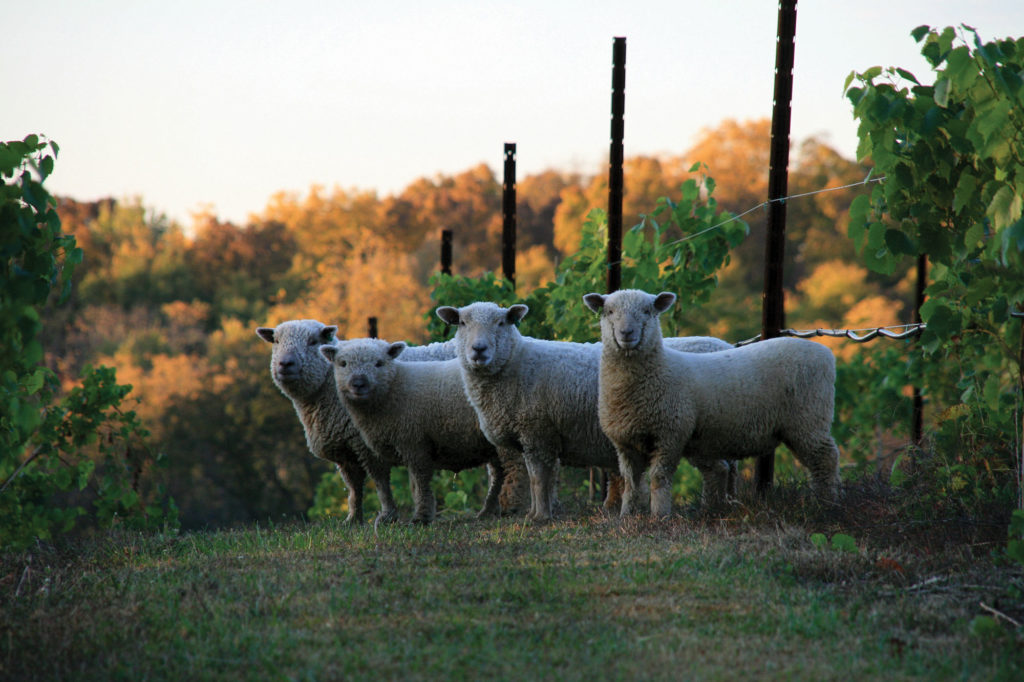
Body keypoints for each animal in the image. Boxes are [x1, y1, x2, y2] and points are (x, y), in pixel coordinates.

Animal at [256, 321, 460, 522]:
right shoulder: (345, 452)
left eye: (313, 341)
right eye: (276, 341)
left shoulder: (367, 446)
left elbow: (380, 483)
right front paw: (353, 519)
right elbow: (354, 488)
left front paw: (387, 516)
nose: (285, 363)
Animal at [319, 337, 524, 522]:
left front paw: (421, 516)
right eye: (343, 364)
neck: (394, 388)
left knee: (514, 468)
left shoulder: (414, 441)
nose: (358, 384)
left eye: (379, 363)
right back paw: (488, 511)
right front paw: (391, 517)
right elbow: (388, 484)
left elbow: (419, 481)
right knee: (499, 473)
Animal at [432, 299, 737, 520]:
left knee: (718, 469)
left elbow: (538, 479)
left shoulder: (536, 431)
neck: (515, 364)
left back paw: (712, 510)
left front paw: (539, 517)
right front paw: (536, 512)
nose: (478, 350)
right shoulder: (535, 436)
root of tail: (724, 344)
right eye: (461, 322)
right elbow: (537, 479)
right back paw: (720, 507)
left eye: (501, 322)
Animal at [585, 286, 839, 516]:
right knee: (721, 469)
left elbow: (659, 477)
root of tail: (825, 354)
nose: (626, 333)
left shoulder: (670, 434)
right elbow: (631, 483)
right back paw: (713, 509)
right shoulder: (625, 442)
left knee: (825, 459)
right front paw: (627, 516)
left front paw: (659, 516)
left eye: (648, 311)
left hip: (809, 419)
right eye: (609, 311)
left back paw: (827, 505)